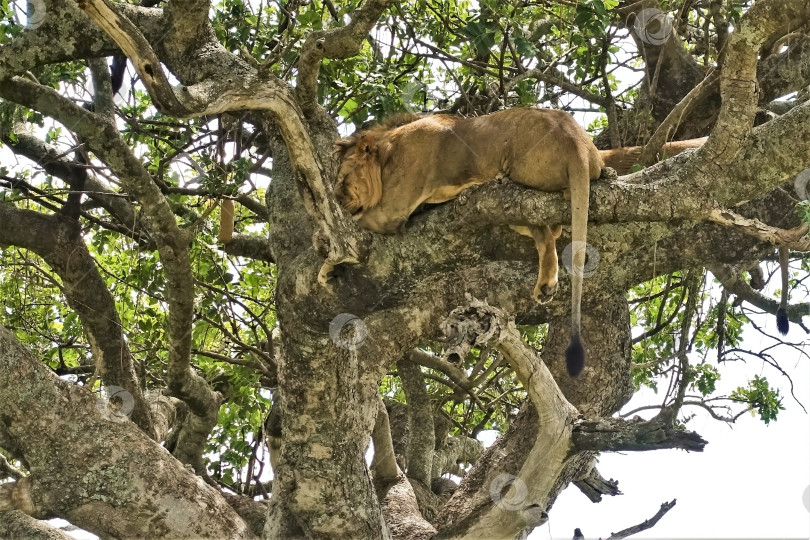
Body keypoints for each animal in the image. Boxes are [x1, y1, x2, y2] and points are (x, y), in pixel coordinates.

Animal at [332, 108, 604, 380]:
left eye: (344, 179)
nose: (336, 198)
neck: (387, 153)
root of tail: (576, 143)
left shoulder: (390, 211)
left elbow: (355, 223)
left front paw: (329, 266)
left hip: (518, 171)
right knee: (549, 232)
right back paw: (546, 286)